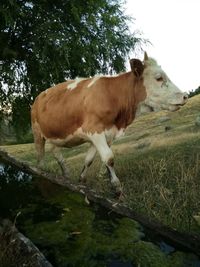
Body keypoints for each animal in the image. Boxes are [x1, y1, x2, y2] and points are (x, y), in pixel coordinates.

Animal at [31, 52, 188, 195]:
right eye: (159, 78)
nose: (185, 96)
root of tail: (38, 96)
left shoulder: (106, 135)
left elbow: (89, 160)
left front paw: (81, 180)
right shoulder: (94, 130)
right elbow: (109, 158)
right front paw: (116, 187)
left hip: (54, 135)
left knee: (56, 154)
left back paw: (66, 175)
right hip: (37, 133)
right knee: (40, 157)